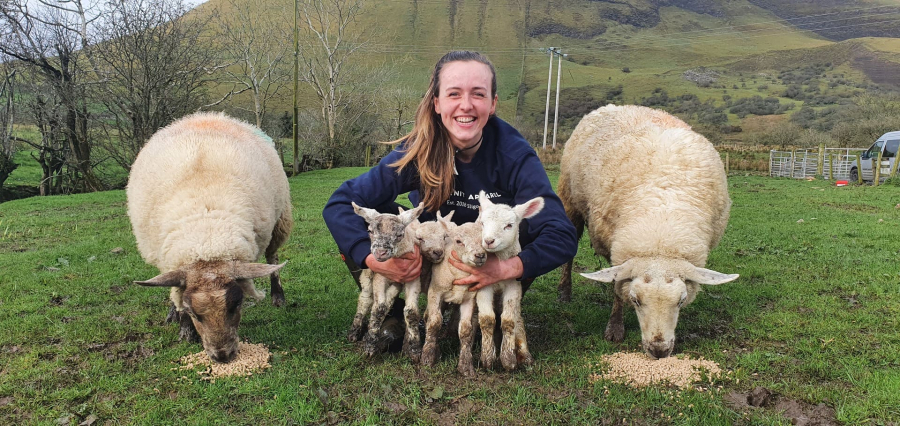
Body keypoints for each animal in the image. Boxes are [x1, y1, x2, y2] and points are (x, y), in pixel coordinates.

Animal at [126, 112, 294, 362]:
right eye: (193, 312)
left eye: (237, 304)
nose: (223, 356)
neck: (206, 239)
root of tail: (207, 116)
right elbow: (177, 292)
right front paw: (184, 329)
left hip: (280, 220)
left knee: (272, 258)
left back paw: (278, 296)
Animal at [350, 201, 424, 362]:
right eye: (370, 231)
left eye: (399, 235)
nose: (380, 253)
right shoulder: (380, 276)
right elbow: (378, 308)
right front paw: (370, 346)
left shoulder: (413, 277)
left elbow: (411, 311)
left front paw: (415, 350)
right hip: (368, 274)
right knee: (366, 299)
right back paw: (354, 331)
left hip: (396, 284)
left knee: (389, 300)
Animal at [560, 105, 740, 358]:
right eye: (635, 300)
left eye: (681, 300)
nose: (659, 350)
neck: (660, 233)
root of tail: (616, 106)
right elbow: (617, 290)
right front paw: (615, 328)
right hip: (570, 200)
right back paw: (564, 292)